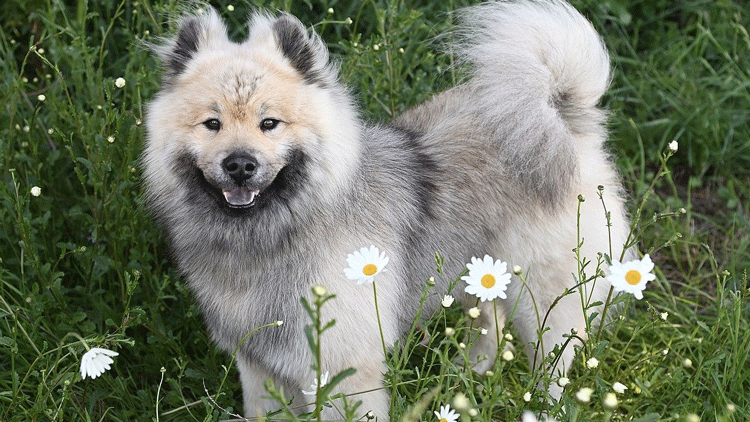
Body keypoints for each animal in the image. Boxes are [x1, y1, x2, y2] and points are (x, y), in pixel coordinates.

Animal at [144, 0, 632, 418]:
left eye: (269, 123)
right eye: (212, 124)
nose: (240, 164)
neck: (274, 235)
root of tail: (558, 112)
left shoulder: (344, 372)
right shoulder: (259, 366)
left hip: (545, 302)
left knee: (555, 369)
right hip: (477, 271)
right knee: (490, 323)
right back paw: (466, 375)